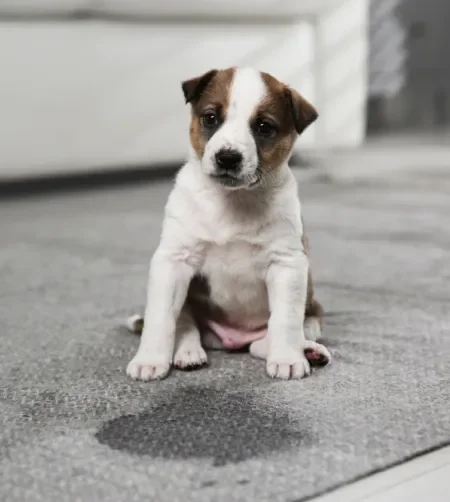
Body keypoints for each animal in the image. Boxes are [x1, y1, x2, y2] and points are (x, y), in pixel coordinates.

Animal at [126, 66, 330, 380]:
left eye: (263, 127)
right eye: (211, 118)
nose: (228, 158)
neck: (233, 200)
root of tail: (233, 339)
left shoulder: (287, 263)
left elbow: (284, 321)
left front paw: (287, 358)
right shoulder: (173, 260)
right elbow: (161, 319)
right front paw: (149, 360)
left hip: (311, 312)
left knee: (268, 340)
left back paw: (308, 350)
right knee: (185, 324)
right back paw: (188, 352)